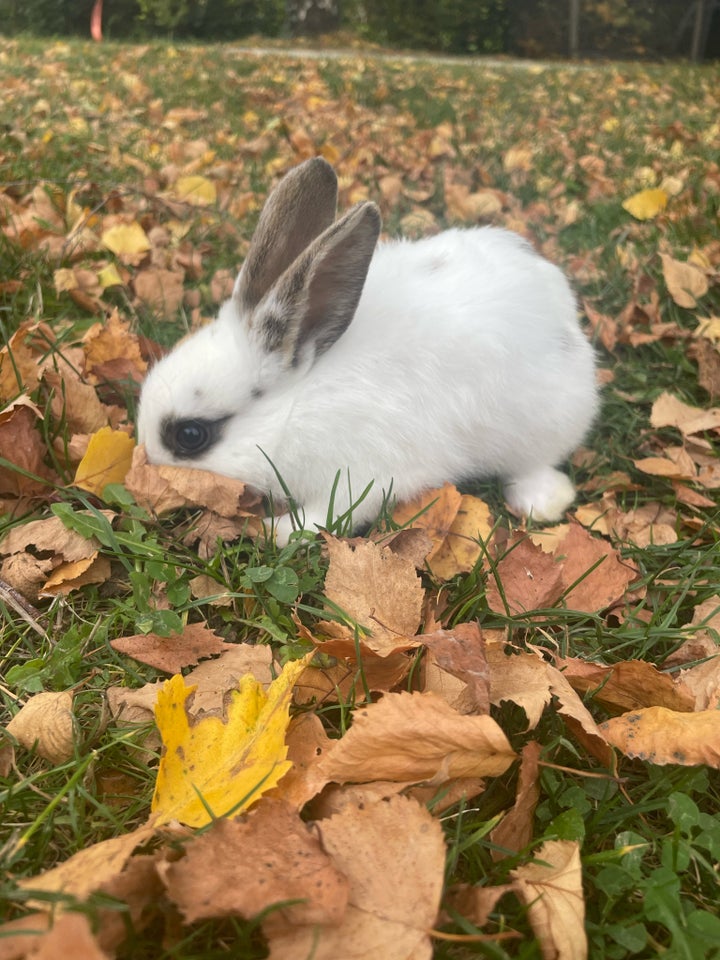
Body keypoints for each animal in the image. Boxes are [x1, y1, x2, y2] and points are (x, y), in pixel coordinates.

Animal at [135, 158, 596, 548]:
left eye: (190, 435)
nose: (146, 462)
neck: (297, 404)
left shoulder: (361, 475)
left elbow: (328, 514)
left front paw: (277, 531)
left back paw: (541, 501)